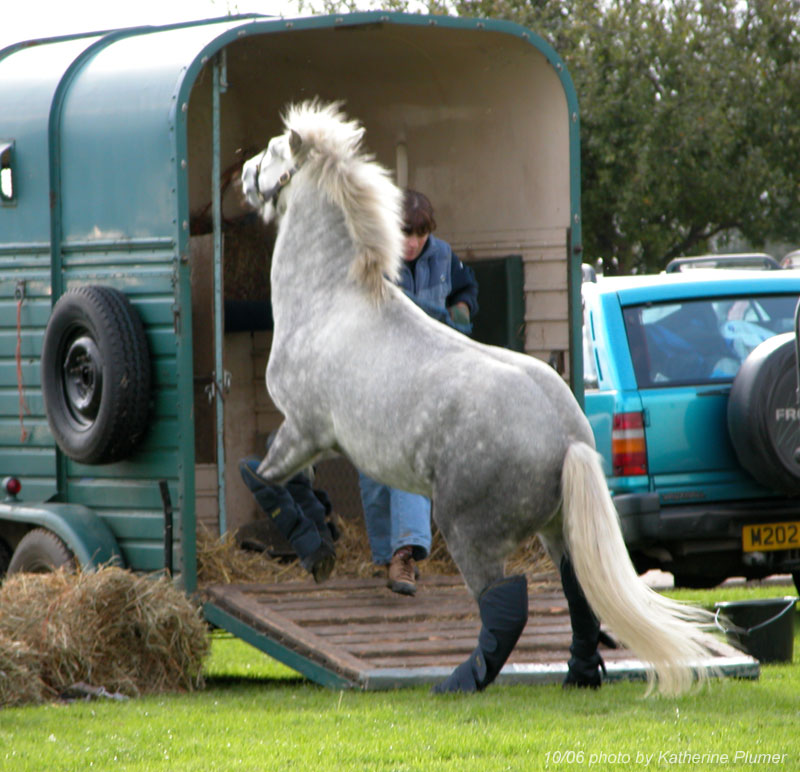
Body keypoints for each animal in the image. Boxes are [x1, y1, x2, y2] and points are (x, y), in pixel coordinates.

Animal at [239, 99, 720, 696]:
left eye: (272, 153)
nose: (242, 175)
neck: (330, 300)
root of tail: (567, 439)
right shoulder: (315, 441)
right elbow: (292, 481)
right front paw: (319, 535)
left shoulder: (303, 427)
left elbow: (257, 474)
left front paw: (315, 550)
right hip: (557, 530)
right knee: (577, 590)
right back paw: (578, 675)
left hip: (468, 528)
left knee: (505, 603)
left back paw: (461, 681)